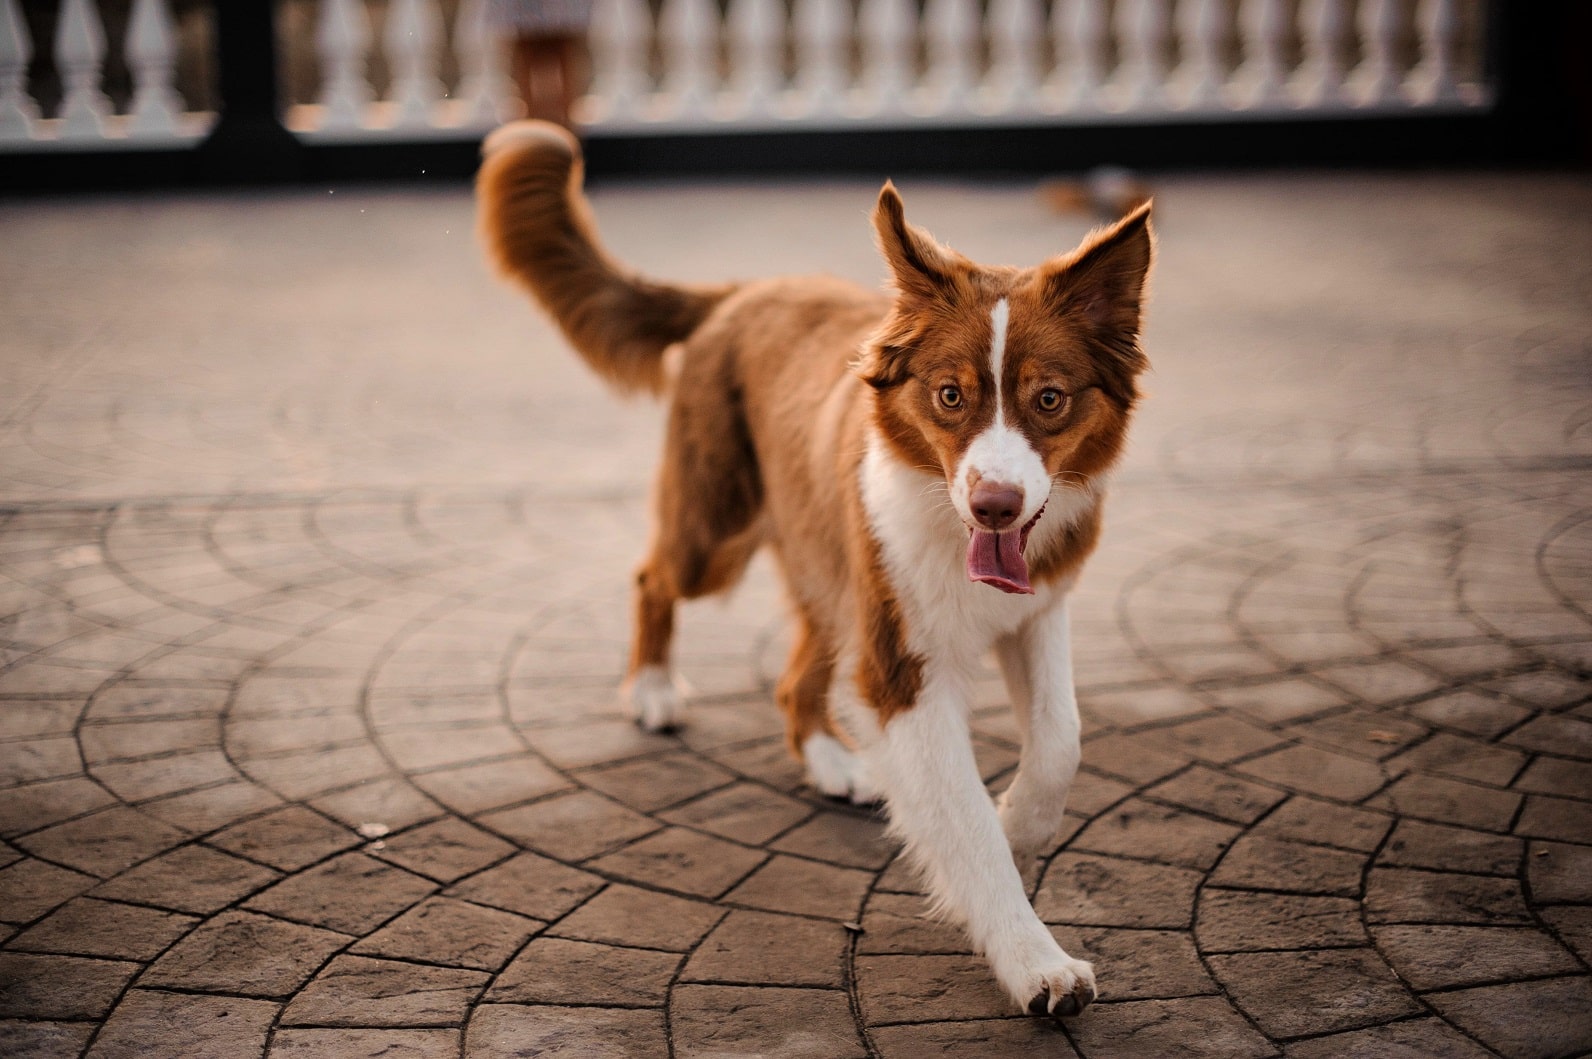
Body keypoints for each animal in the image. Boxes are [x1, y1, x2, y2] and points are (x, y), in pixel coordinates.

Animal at [477, 121, 1152, 1019]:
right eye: (949, 395)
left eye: (1050, 399)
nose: (996, 507)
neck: (949, 521)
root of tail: (745, 290)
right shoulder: (901, 668)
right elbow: (966, 823)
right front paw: (1032, 957)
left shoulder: (1035, 606)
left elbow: (1061, 740)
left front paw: (1019, 821)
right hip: (719, 531)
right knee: (653, 578)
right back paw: (652, 689)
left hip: (834, 575)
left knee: (799, 673)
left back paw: (830, 761)